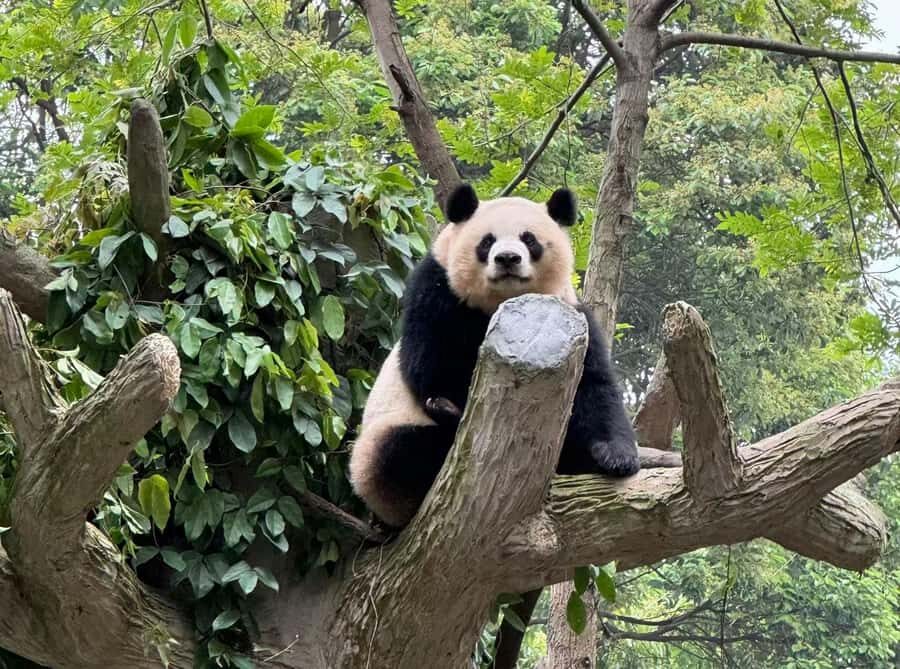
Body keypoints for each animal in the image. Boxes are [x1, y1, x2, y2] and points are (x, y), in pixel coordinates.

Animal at [349, 183, 639, 528]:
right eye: (487, 242)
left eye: (529, 239)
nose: (508, 258)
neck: (503, 303)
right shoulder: (437, 292)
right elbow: (433, 365)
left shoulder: (572, 316)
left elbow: (596, 388)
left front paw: (617, 457)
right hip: (378, 445)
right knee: (401, 454)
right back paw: (446, 415)